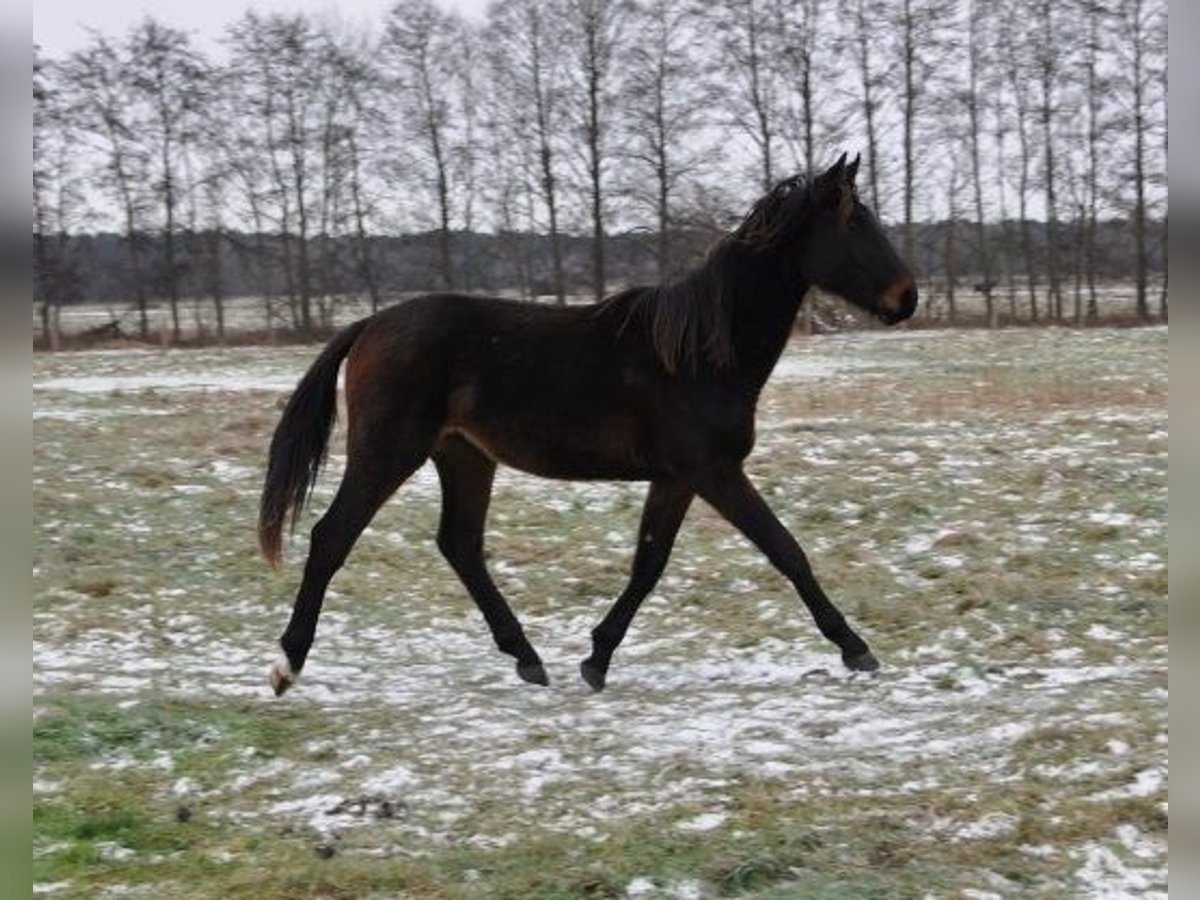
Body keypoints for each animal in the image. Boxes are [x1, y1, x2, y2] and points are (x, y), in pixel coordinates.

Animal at [265, 157, 916, 696]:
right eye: (854, 224)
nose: (906, 298)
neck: (700, 355)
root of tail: (369, 325)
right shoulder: (713, 472)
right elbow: (786, 551)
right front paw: (856, 649)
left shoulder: (677, 479)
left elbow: (649, 563)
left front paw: (596, 658)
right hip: (388, 451)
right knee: (332, 536)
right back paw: (286, 665)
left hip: (464, 455)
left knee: (460, 545)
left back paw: (528, 658)